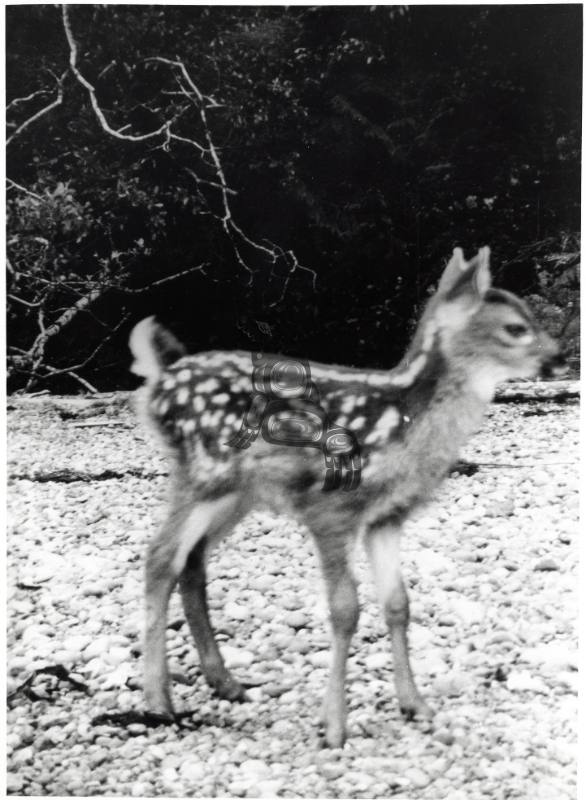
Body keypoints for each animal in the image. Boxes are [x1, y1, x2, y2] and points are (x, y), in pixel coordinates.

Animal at [129, 247, 560, 748]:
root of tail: (161, 377)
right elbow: (345, 609)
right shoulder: (330, 510)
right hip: (203, 472)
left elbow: (398, 605)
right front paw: (334, 726)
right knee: (161, 558)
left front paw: (415, 705)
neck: (402, 424)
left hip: (237, 495)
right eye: (515, 327)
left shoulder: (386, 517)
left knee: (192, 561)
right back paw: (158, 702)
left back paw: (226, 683)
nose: (560, 357)